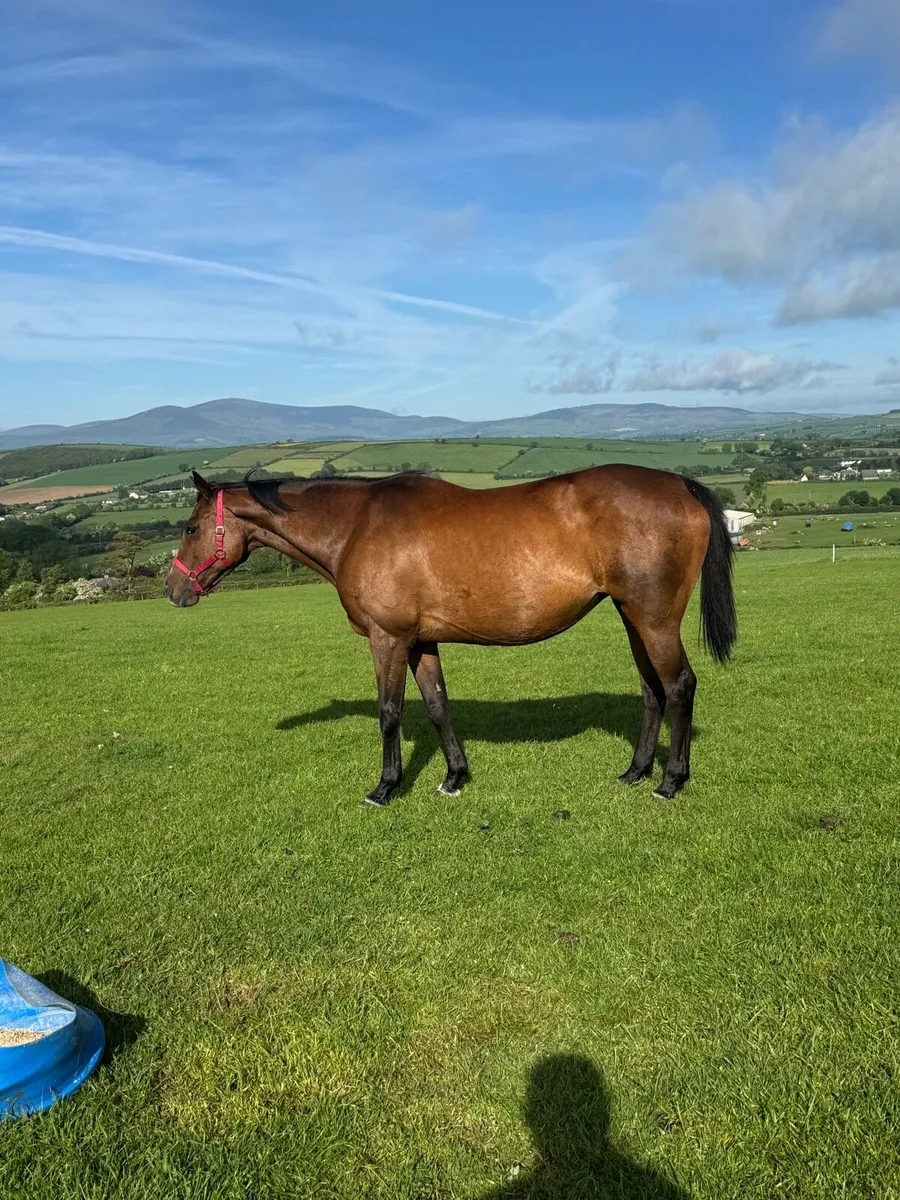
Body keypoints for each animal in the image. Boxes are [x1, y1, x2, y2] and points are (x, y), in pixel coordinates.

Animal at [167, 466, 736, 806]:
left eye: (190, 528)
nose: (174, 589)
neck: (356, 525)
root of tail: (680, 483)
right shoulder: (420, 641)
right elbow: (438, 705)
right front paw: (455, 776)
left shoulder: (388, 638)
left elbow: (390, 713)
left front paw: (386, 786)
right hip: (632, 615)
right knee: (652, 691)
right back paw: (635, 771)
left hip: (655, 619)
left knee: (679, 686)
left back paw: (670, 780)